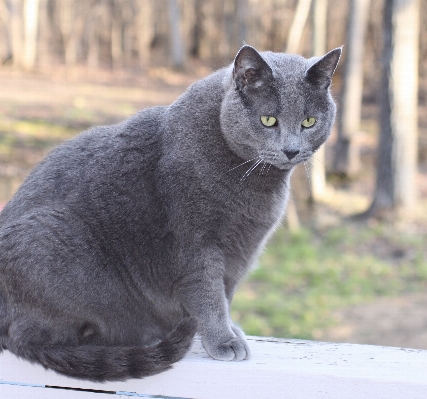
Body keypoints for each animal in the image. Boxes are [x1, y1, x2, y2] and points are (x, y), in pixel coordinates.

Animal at [0, 45, 342, 382]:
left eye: (309, 122)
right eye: (268, 120)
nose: (291, 150)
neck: (257, 183)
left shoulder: (241, 250)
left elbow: (227, 293)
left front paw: (230, 331)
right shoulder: (195, 247)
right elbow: (210, 296)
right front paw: (223, 340)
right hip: (45, 240)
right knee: (31, 336)